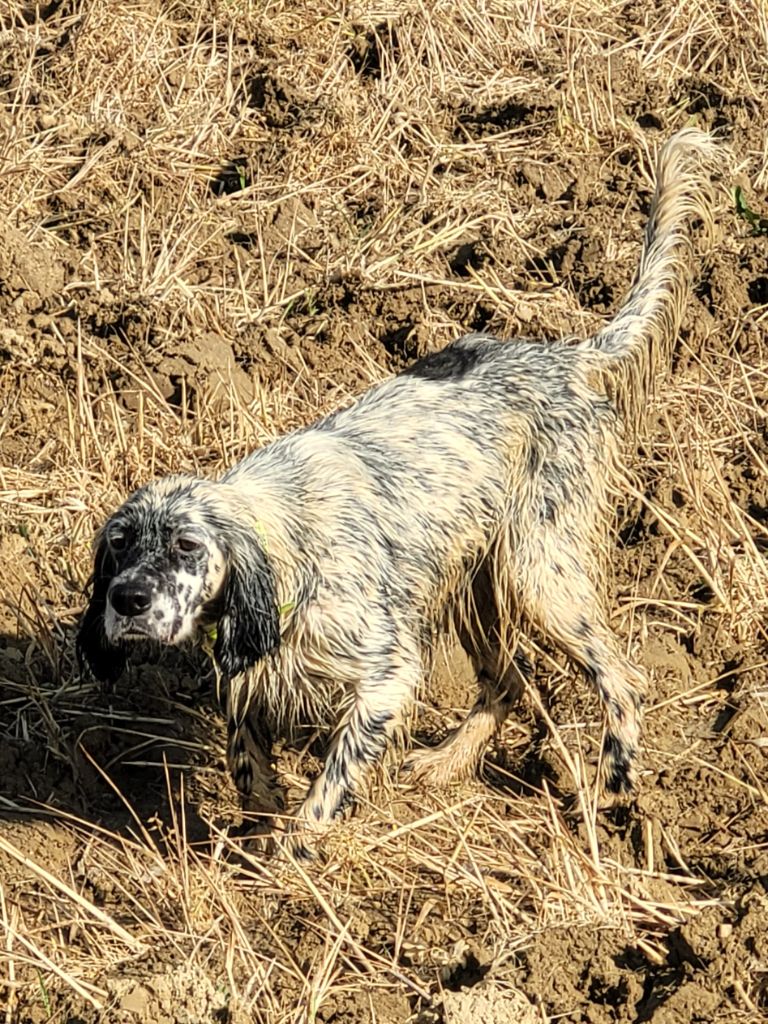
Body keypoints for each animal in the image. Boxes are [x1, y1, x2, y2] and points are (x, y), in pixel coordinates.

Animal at [78, 130, 720, 847]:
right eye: (119, 545)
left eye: (188, 545)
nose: (128, 600)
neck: (288, 538)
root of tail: (564, 356)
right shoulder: (251, 672)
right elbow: (247, 762)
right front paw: (258, 834)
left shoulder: (385, 675)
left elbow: (329, 782)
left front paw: (295, 849)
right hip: (477, 586)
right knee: (508, 680)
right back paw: (447, 762)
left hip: (537, 571)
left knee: (621, 677)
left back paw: (613, 783)